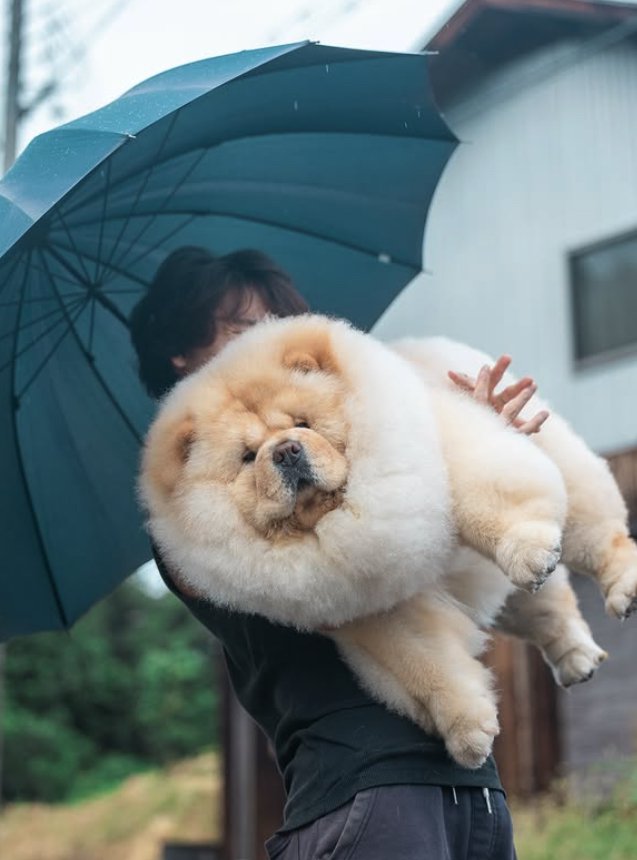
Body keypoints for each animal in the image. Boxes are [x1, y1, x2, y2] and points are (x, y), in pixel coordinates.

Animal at [140, 314, 636, 764]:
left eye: (304, 422)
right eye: (246, 458)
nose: (284, 450)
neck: (342, 519)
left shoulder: (453, 457)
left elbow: (487, 504)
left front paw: (529, 552)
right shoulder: (375, 605)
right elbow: (426, 662)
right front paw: (468, 731)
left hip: (565, 474)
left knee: (599, 533)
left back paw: (622, 589)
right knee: (546, 611)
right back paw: (576, 660)